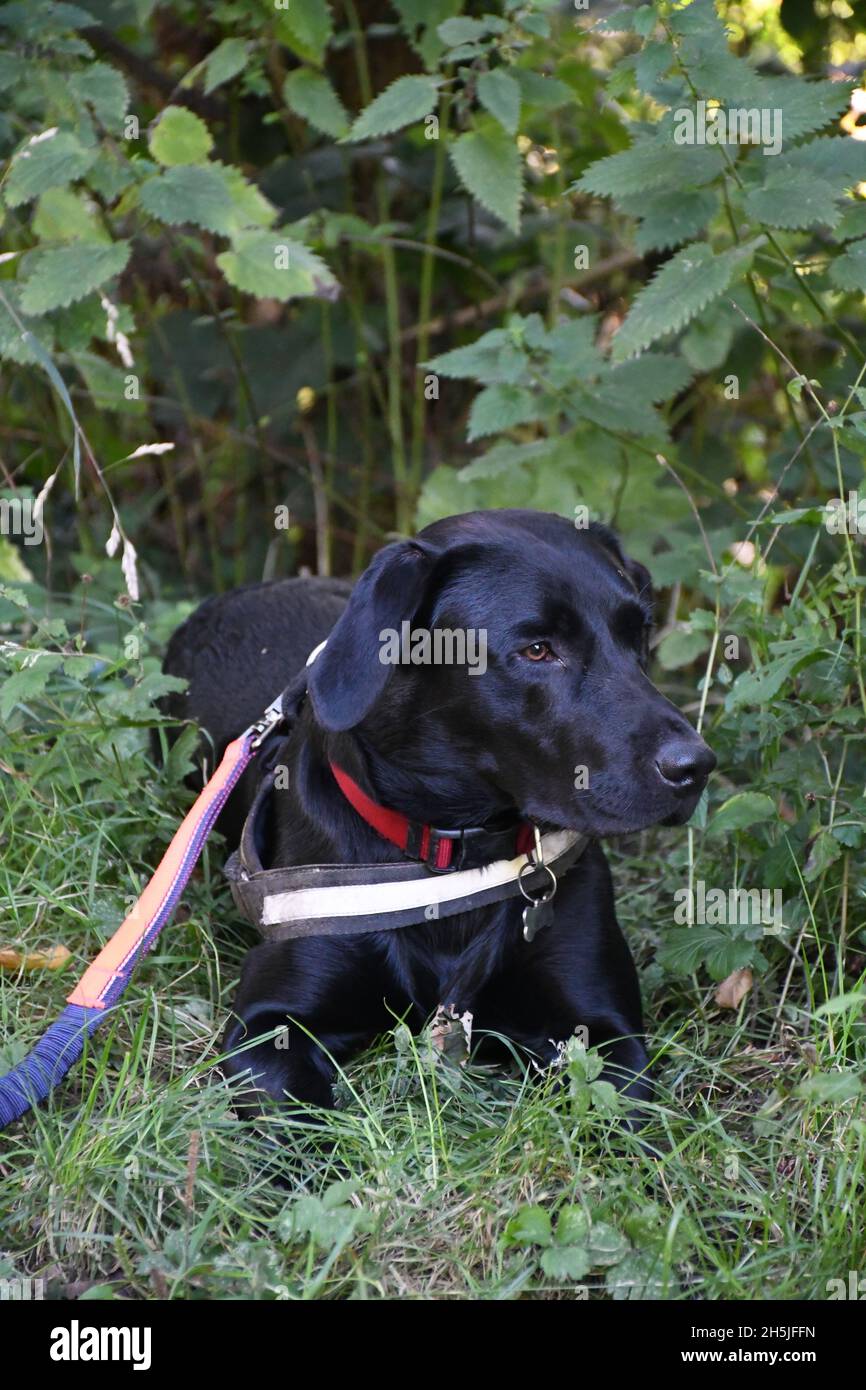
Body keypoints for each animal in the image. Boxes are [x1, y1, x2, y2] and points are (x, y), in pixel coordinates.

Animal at [162, 514, 717, 1117]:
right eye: (538, 650)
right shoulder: (270, 1024)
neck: (452, 851)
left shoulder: (603, 1027)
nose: (695, 767)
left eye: (638, 634)